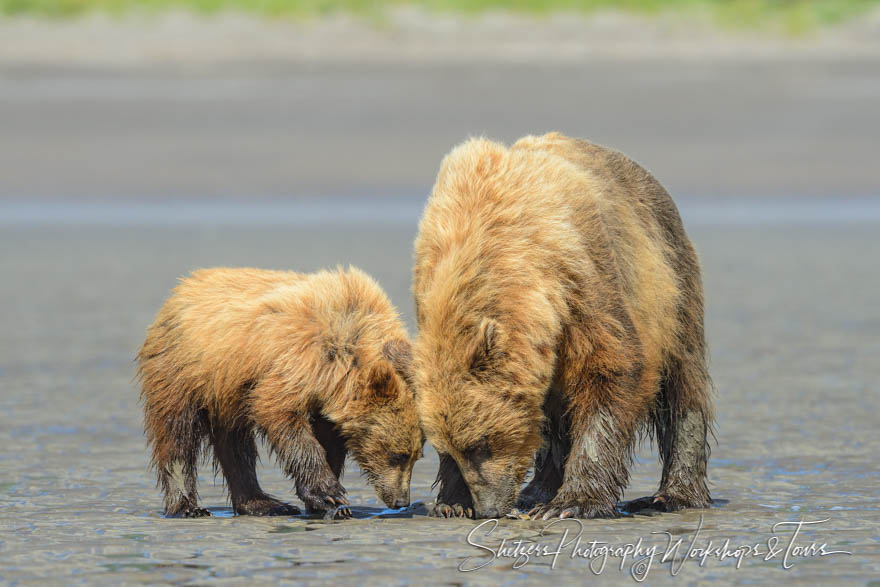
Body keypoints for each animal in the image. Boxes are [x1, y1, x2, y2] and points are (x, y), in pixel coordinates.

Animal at [414, 132, 716, 520]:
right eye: (453, 447)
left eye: (482, 444)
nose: (488, 508)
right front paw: (452, 502)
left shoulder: (583, 278)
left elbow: (610, 369)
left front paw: (573, 502)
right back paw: (538, 489)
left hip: (672, 280)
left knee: (682, 385)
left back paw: (675, 494)